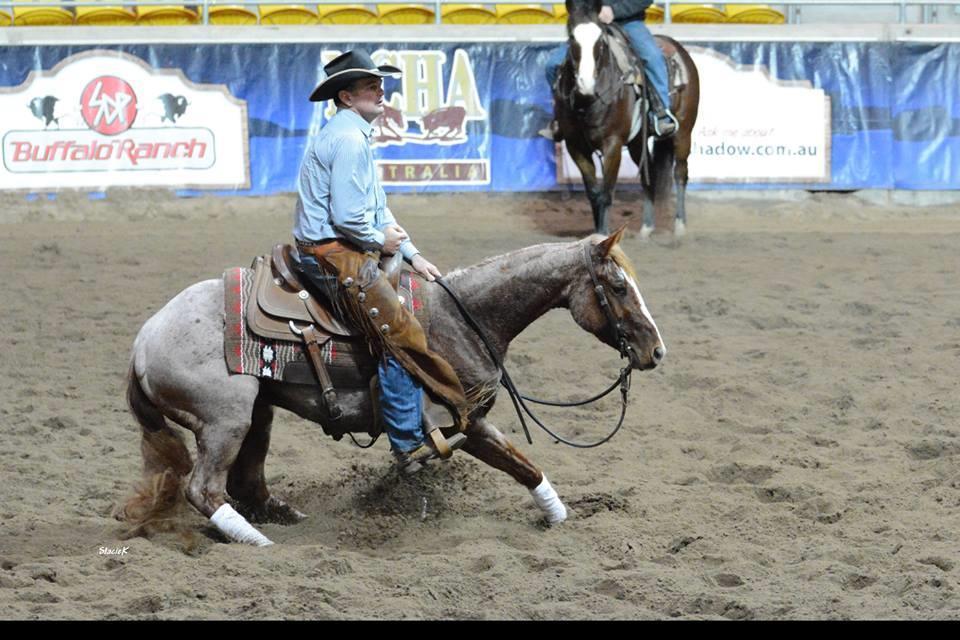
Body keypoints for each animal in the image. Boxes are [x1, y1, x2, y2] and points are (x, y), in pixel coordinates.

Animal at [120, 228, 665, 546]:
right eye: (619, 286)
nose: (656, 351)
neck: (463, 318)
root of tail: (142, 341)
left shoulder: (469, 421)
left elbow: (522, 464)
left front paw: (559, 516)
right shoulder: (465, 420)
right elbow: (522, 463)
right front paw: (557, 516)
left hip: (259, 410)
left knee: (244, 480)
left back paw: (281, 517)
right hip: (225, 420)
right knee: (205, 489)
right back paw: (256, 540)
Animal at [553, 0, 700, 236]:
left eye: (601, 40)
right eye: (572, 37)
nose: (586, 84)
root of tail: (679, 49)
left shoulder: (612, 144)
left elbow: (605, 194)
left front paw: (603, 235)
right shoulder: (575, 146)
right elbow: (593, 194)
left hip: (684, 132)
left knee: (680, 173)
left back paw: (679, 225)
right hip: (636, 142)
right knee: (649, 175)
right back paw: (647, 228)